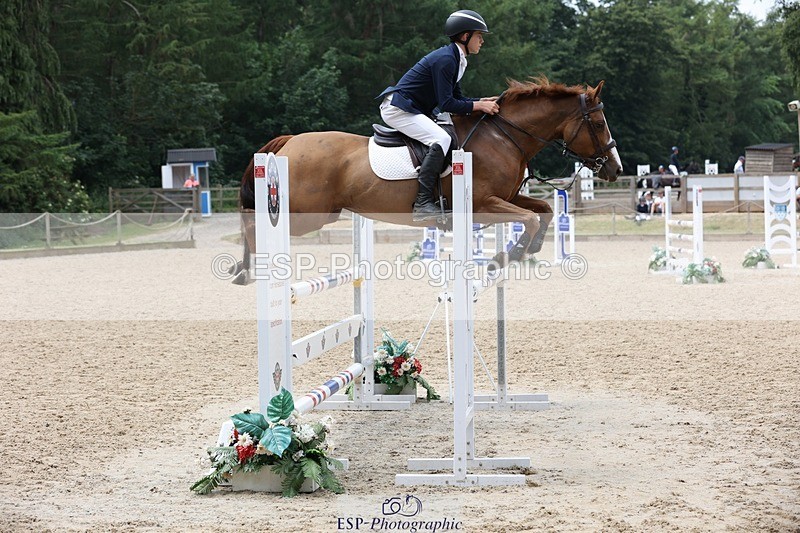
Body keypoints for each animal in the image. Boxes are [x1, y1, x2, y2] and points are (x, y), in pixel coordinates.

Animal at [230, 77, 622, 284]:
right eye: (598, 123)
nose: (614, 168)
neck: (503, 135)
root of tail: (290, 141)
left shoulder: (507, 198)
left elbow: (542, 210)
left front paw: (528, 250)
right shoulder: (483, 205)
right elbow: (529, 217)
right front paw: (502, 258)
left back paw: (243, 268)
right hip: (307, 213)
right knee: (253, 220)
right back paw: (246, 269)